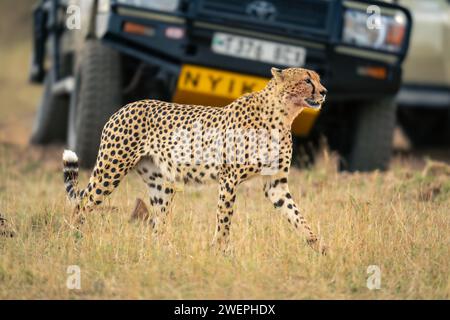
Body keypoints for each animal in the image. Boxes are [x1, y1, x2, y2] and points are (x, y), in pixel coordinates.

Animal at [63, 67, 328, 255]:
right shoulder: (229, 178)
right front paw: (220, 250)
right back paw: (74, 238)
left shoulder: (276, 185)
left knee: (158, 225)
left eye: (317, 78)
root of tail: (125, 107)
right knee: (81, 204)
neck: (284, 115)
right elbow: (224, 218)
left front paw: (318, 246)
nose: (324, 91)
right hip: (111, 170)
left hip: (162, 184)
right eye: (307, 80)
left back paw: (166, 252)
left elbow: (296, 215)